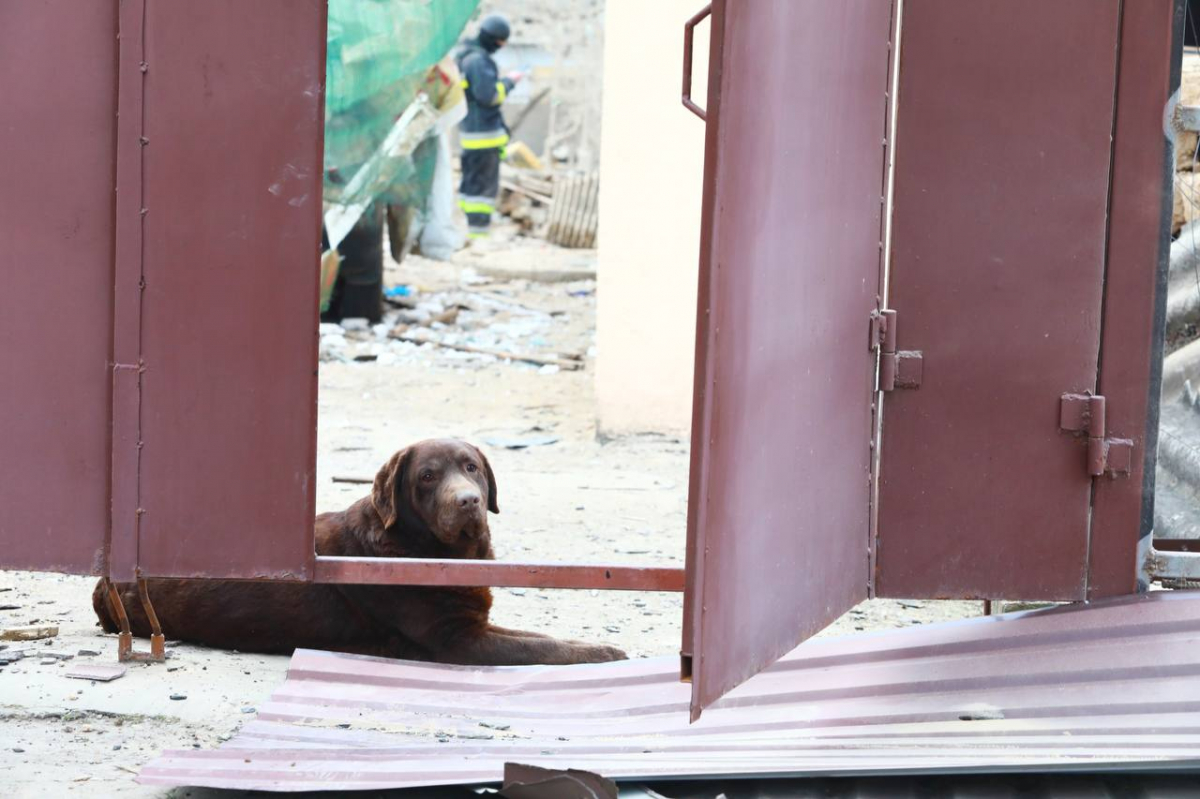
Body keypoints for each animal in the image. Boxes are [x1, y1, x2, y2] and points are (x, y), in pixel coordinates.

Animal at [91, 439, 628, 662]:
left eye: (471, 467)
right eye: (427, 476)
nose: (469, 501)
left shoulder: (474, 622)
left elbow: (542, 635)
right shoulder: (458, 639)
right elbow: (541, 646)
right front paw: (605, 652)